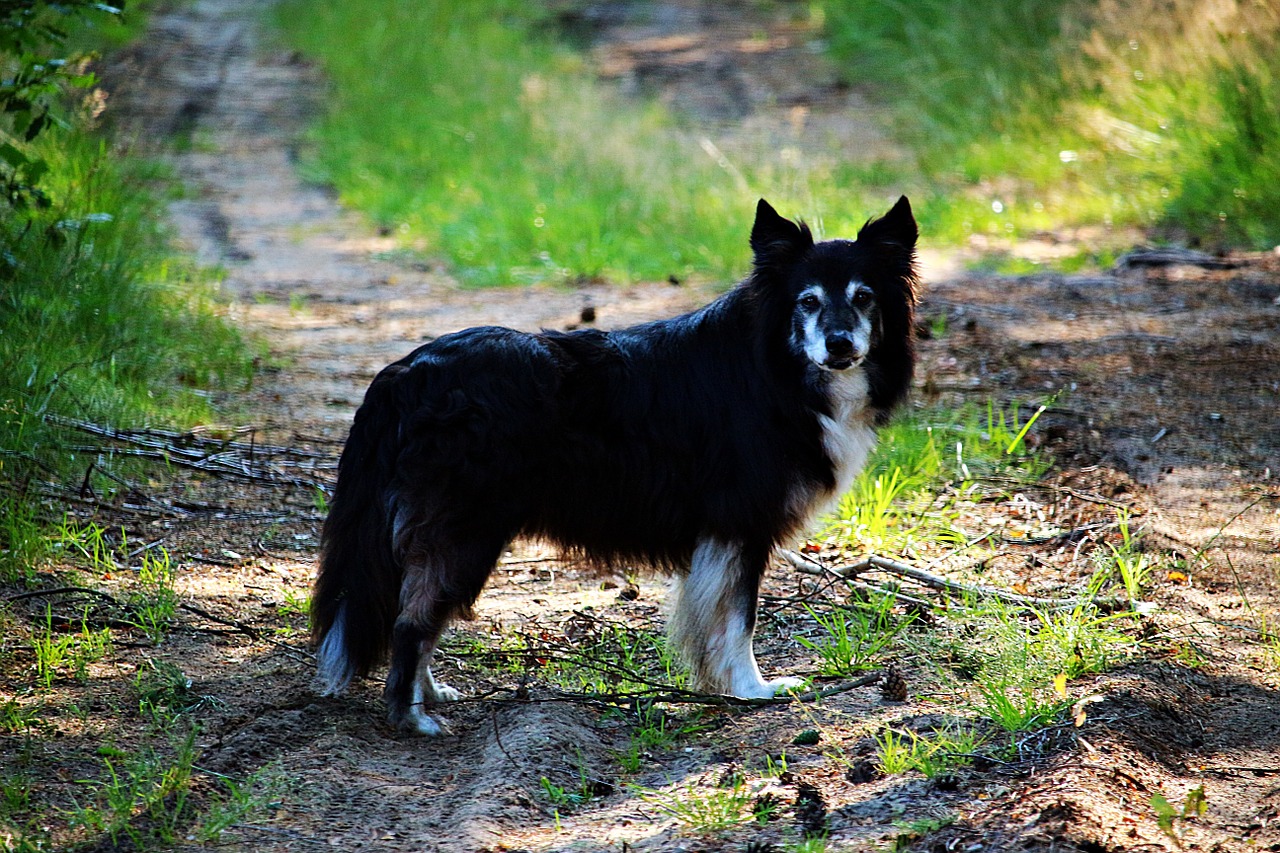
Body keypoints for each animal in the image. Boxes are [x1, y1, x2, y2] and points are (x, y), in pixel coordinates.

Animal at [309, 197, 916, 732]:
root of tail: (405, 373)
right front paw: (752, 691)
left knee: (420, 613)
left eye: (864, 297)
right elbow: (738, 621)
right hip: (466, 529)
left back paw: (431, 695)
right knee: (413, 621)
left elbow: (711, 620)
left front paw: (720, 688)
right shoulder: (739, 526)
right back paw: (412, 718)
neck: (777, 371)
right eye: (807, 301)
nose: (839, 345)